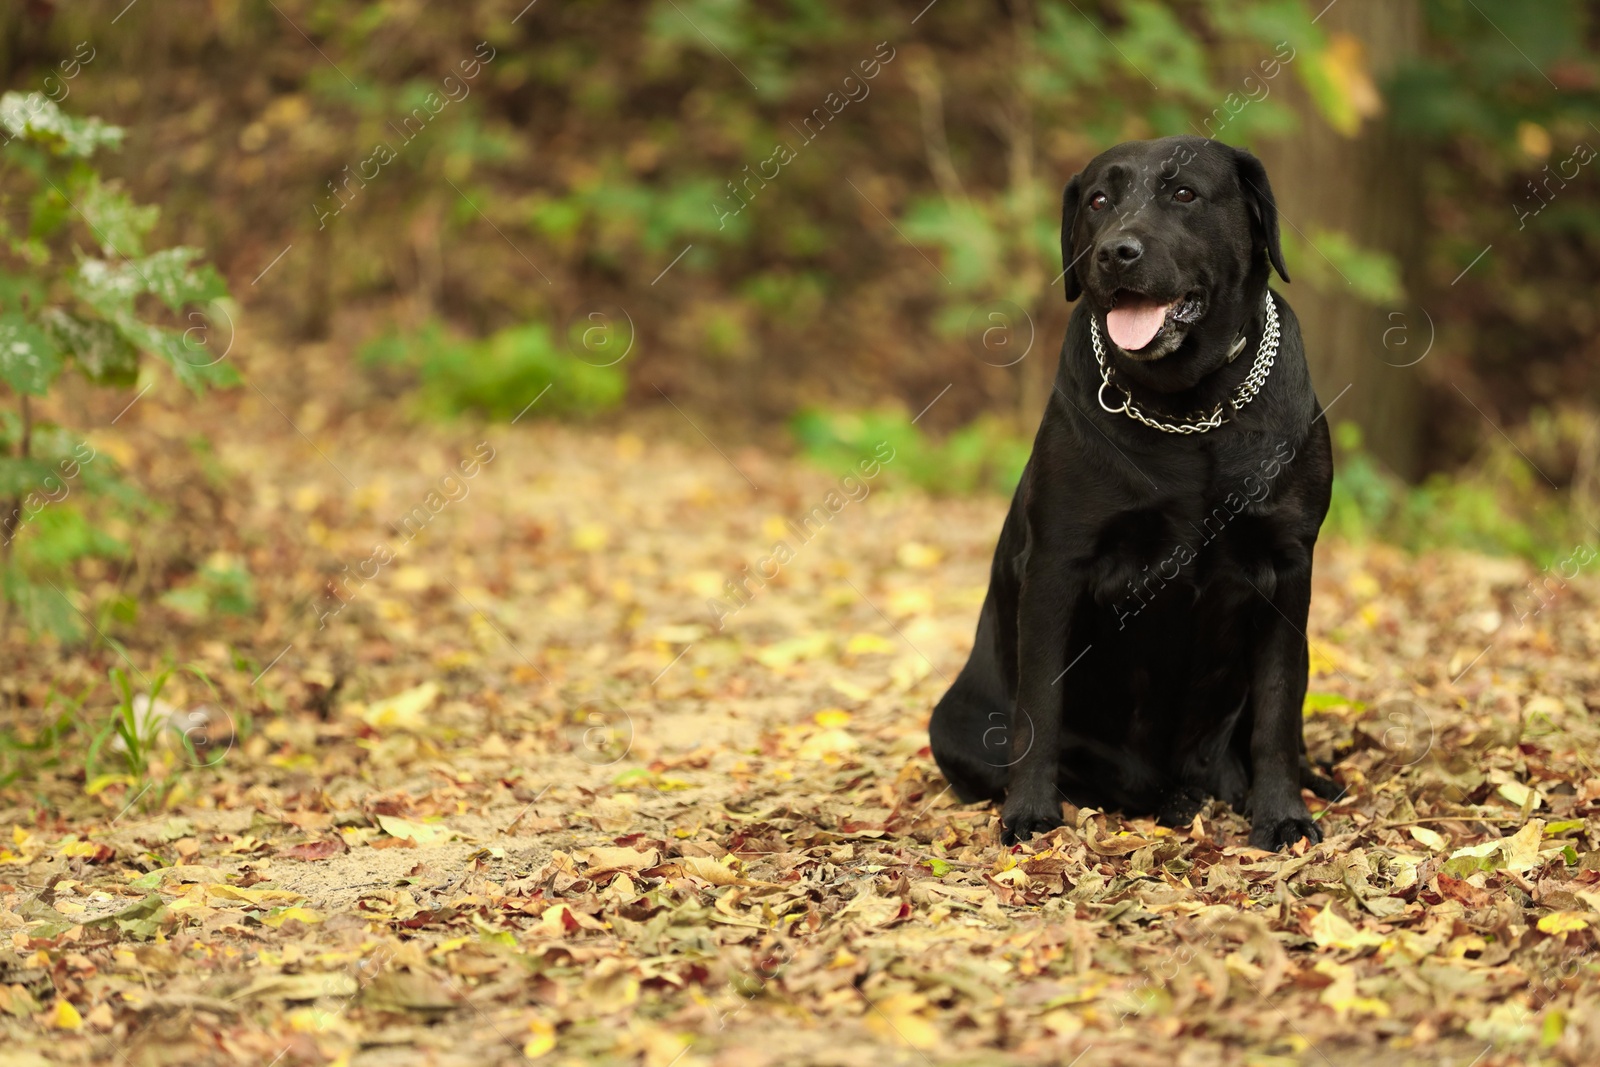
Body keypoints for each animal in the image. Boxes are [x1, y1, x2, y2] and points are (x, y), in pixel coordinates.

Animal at [934, 135, 1344, 851]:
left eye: (1183, 193)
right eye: (1099, 201)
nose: (1113, 252)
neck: (1191, 408)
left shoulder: (1289, 565)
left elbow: (1276, 709)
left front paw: (1283, 814)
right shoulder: (1057, 565)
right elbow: (1039, 706)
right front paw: (1029, 811)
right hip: (952, 724)